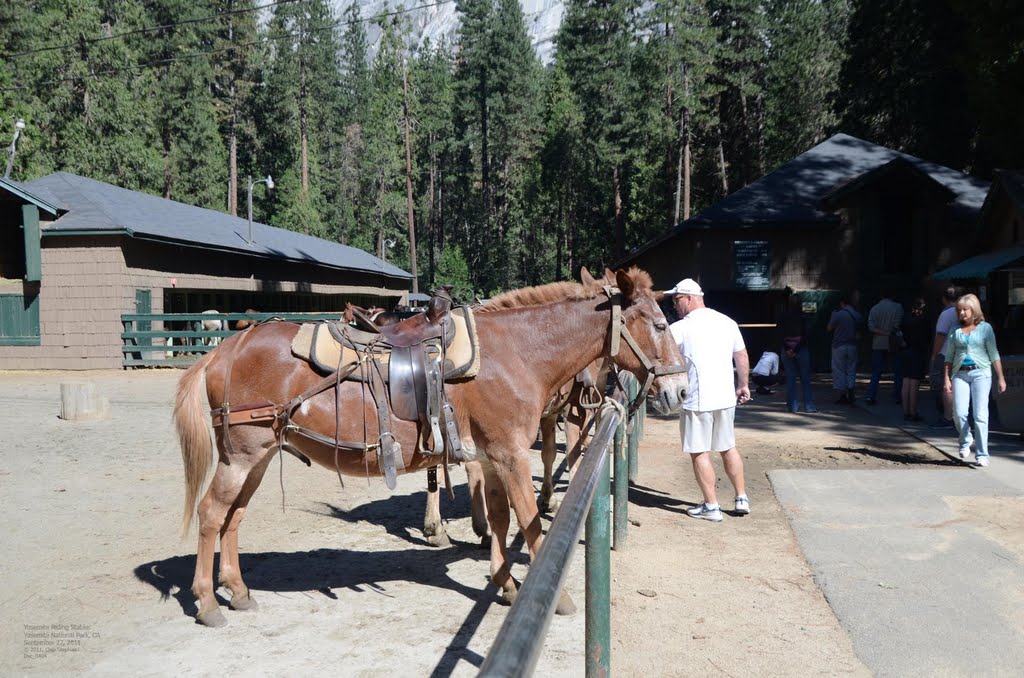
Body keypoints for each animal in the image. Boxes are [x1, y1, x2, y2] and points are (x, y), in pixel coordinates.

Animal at [174, 268, 688, 630]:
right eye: (661, 324)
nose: (680, 390)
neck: (516, 352)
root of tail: (224, 348)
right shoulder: (511, 455)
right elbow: (530, 520)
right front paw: (553, 595)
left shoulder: (491, 458)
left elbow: (500, 521)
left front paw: (504, 583)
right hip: (241, 458)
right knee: (211, 514)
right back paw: (207, 601)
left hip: (258, 458)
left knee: (234, 517)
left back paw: (238, 590)